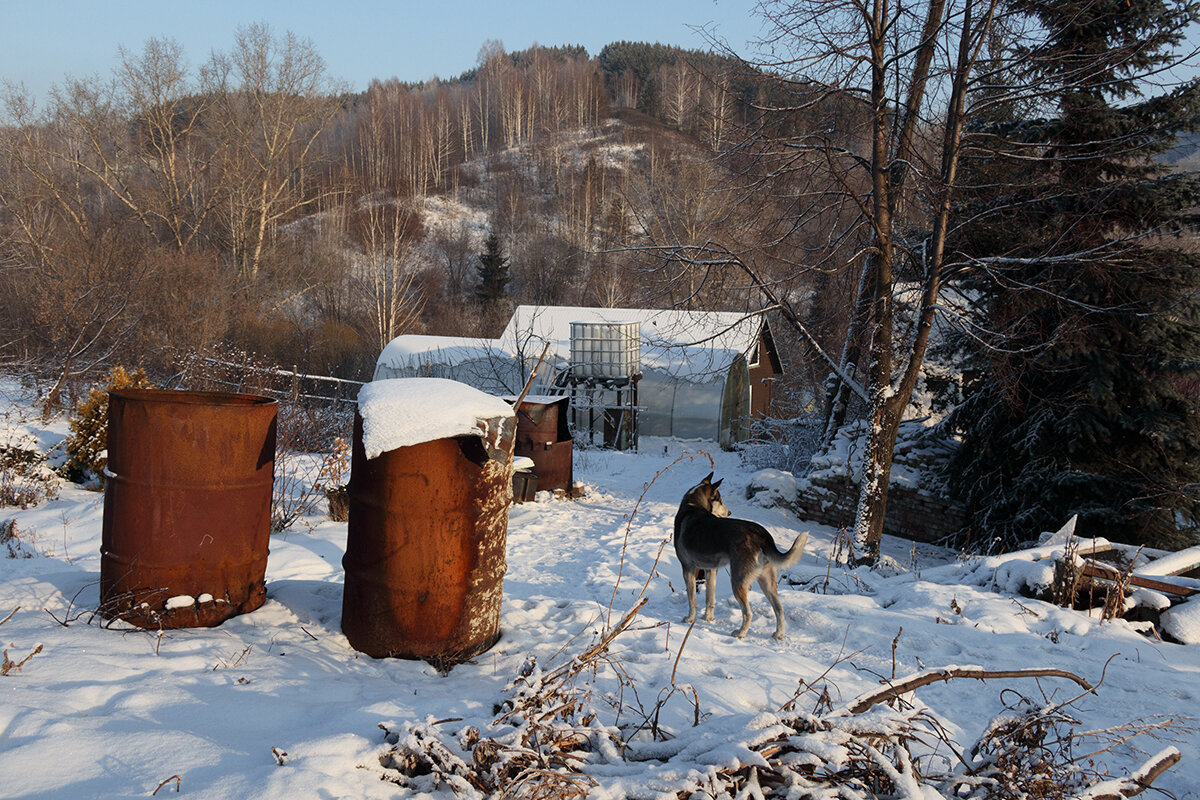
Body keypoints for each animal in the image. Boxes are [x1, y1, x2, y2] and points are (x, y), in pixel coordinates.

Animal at [672, 472, 811, 642]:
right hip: (767, 582)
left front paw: (690, 619)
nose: (729, 513)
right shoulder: (711, 570)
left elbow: (692, 600)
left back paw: (740, 633)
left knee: (748, 612)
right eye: (720, 500)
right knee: (779, 609)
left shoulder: (688, 568)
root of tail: (762, 534)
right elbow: (709, 598)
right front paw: (708, 619)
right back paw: (779, 635)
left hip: (738, 581)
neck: (692, 507)